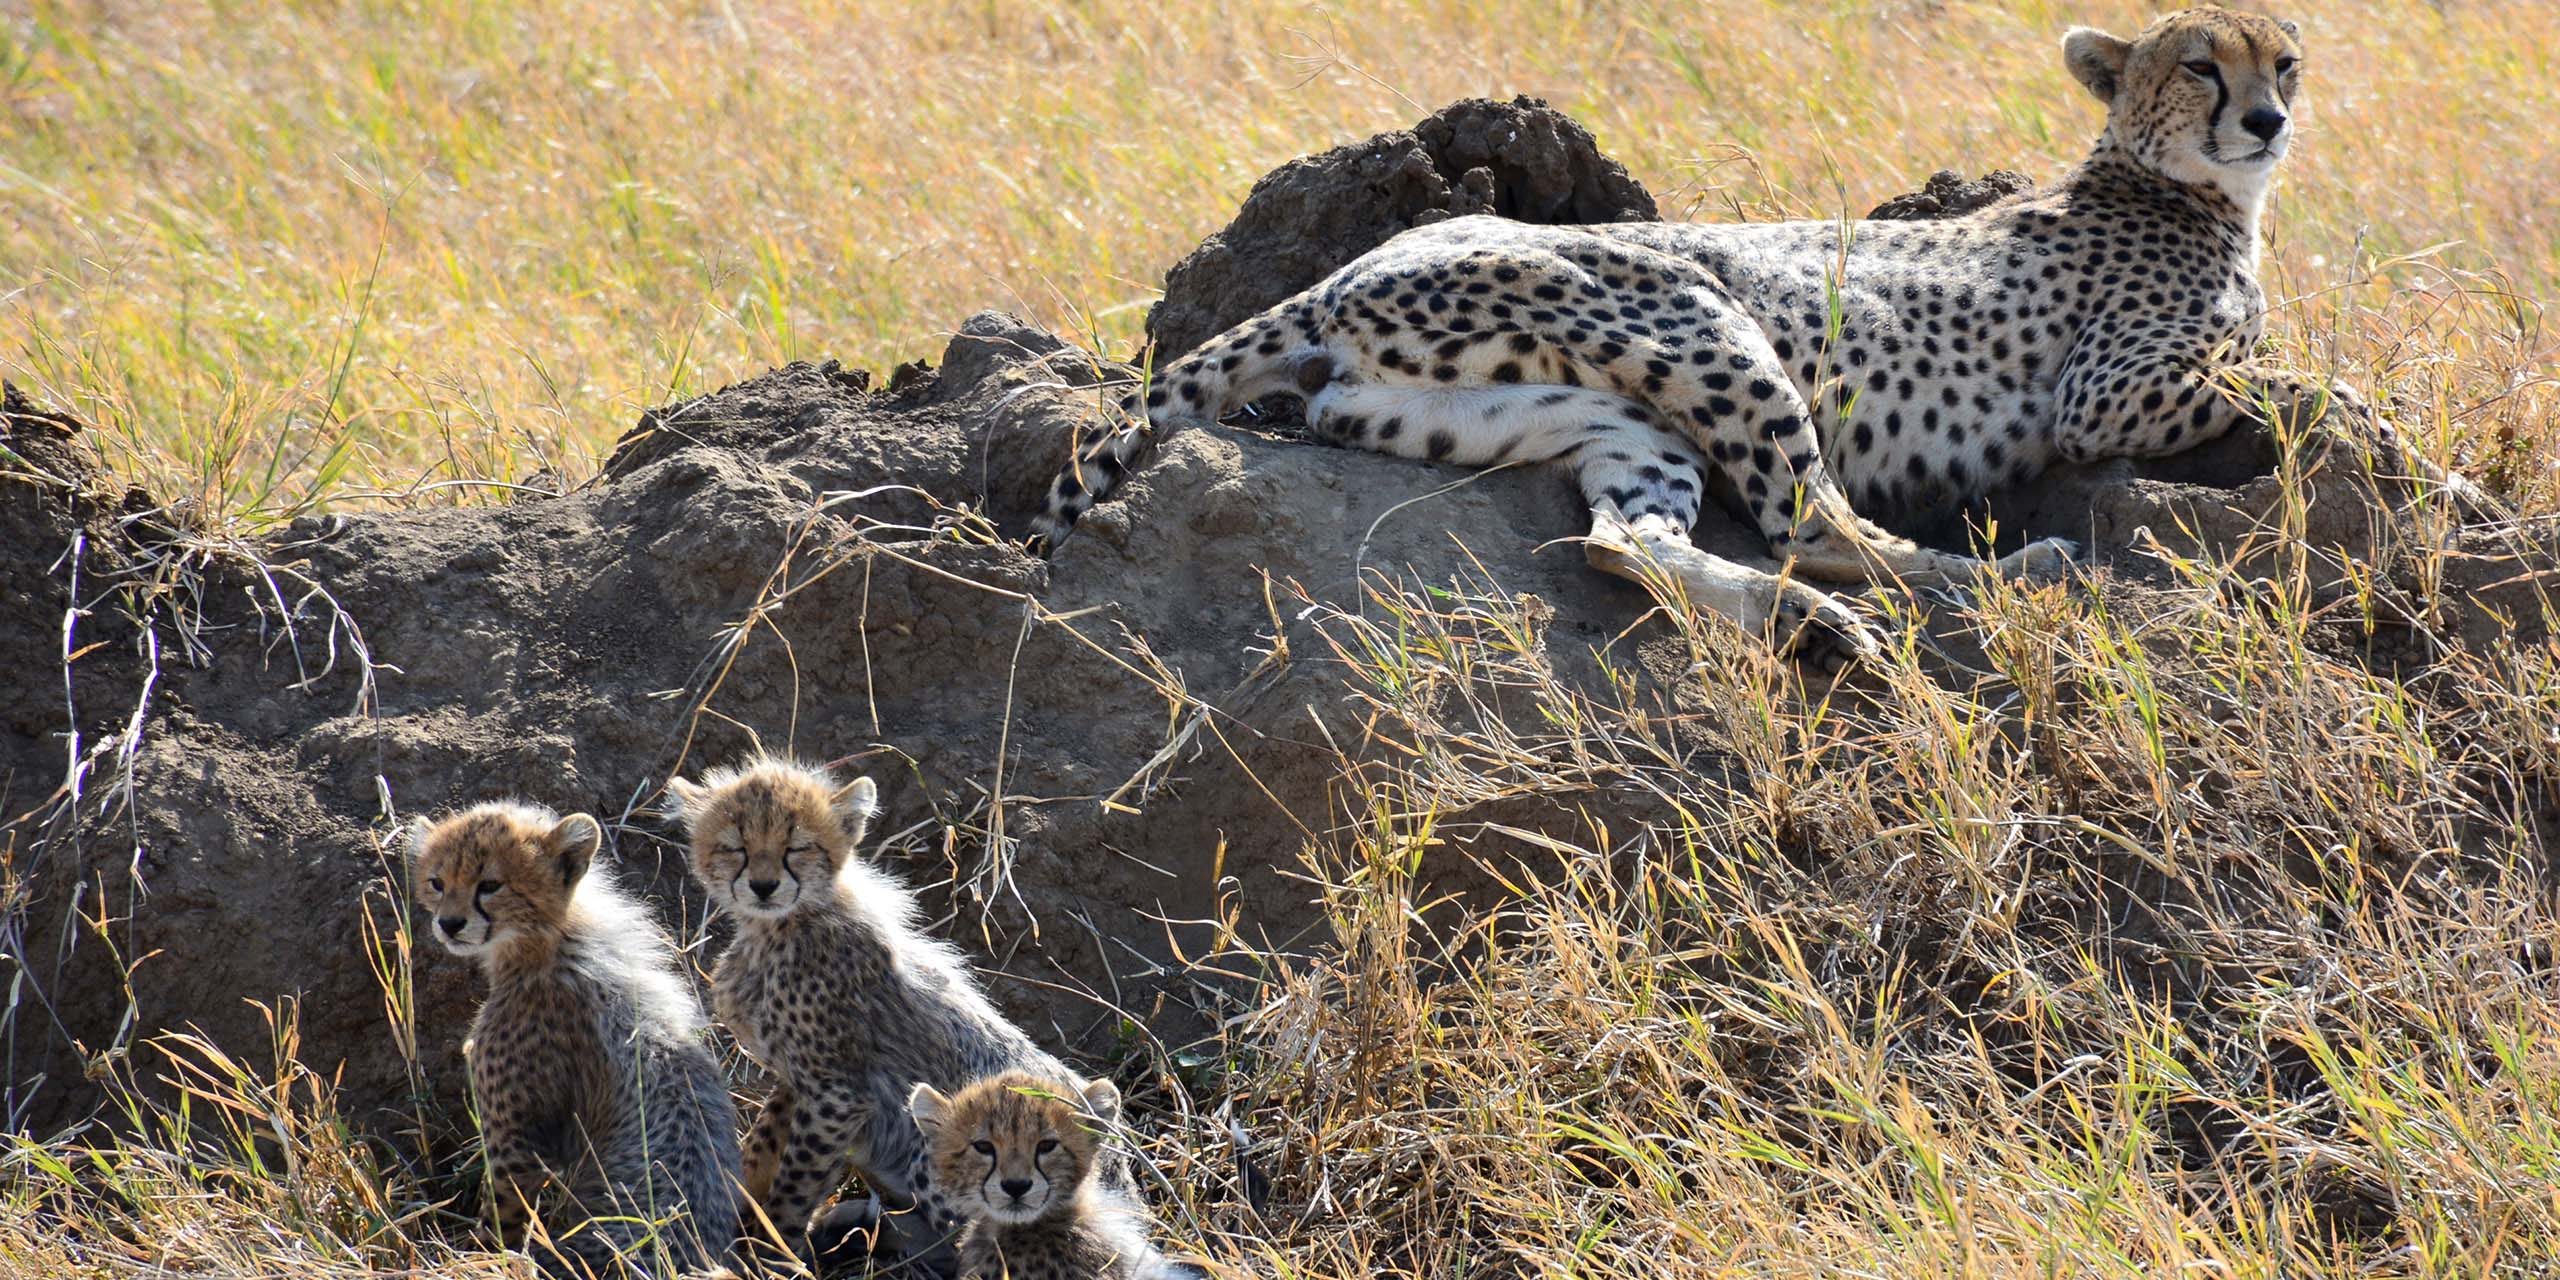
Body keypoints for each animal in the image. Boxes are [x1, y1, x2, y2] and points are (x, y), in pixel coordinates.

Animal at [1029, 10, 2467, 665]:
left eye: (2286, 60)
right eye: (2200, 65)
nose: (2269, 120)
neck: (2184, 186)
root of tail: (1346, 271)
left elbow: (2302, 375)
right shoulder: (2105, 398)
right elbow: (2315, 385)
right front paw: (2435, 467)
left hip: (1581, 413)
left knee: (1626, 543)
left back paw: (1816, 625)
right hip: (1705, 322)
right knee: (1812, 521)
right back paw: (1997, 573)